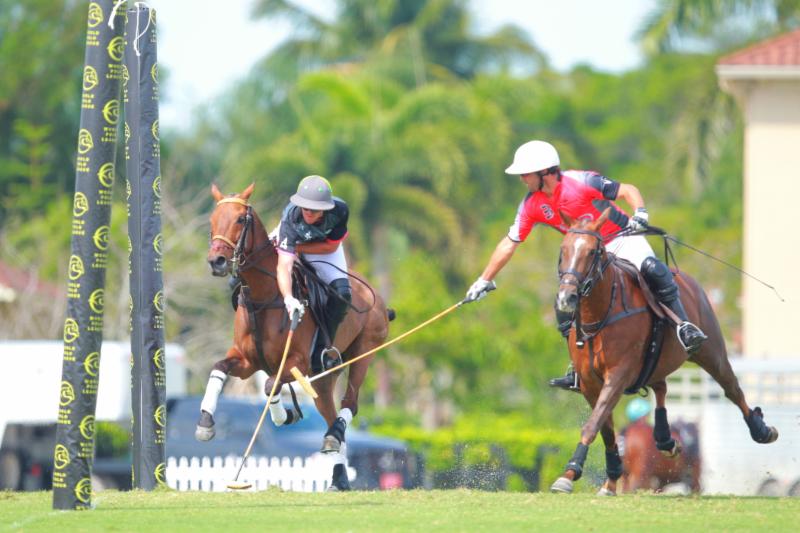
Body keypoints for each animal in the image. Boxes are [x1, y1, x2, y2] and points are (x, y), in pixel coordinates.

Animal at [195, 183, 393, 490]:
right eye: (212, 220)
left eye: (240, 219)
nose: (217, 261)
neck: (264, 296)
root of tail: (379, 299)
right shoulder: (246, 362)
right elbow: (219, 369)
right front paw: (205, 423)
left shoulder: (296, 363)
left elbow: (269, 386)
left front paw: (285, 415)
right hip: (322, 381)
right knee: (331, 415)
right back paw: (338, 473)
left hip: (364, 353)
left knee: (349, 403)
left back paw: (334, 440)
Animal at [549, 208, 778, 495]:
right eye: (563, 249)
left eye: (593, 251)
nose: (566, 298)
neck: (598, 316)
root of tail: (683, 276)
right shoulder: (590, 382)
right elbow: (605, 428)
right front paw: (608, 480)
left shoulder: (619, 374)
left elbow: (593, 424)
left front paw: (569, 473)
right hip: (658, 361)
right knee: (661, 387)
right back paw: (665, 439)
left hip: (711, 351)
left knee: (731, 388)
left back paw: (761, 430)